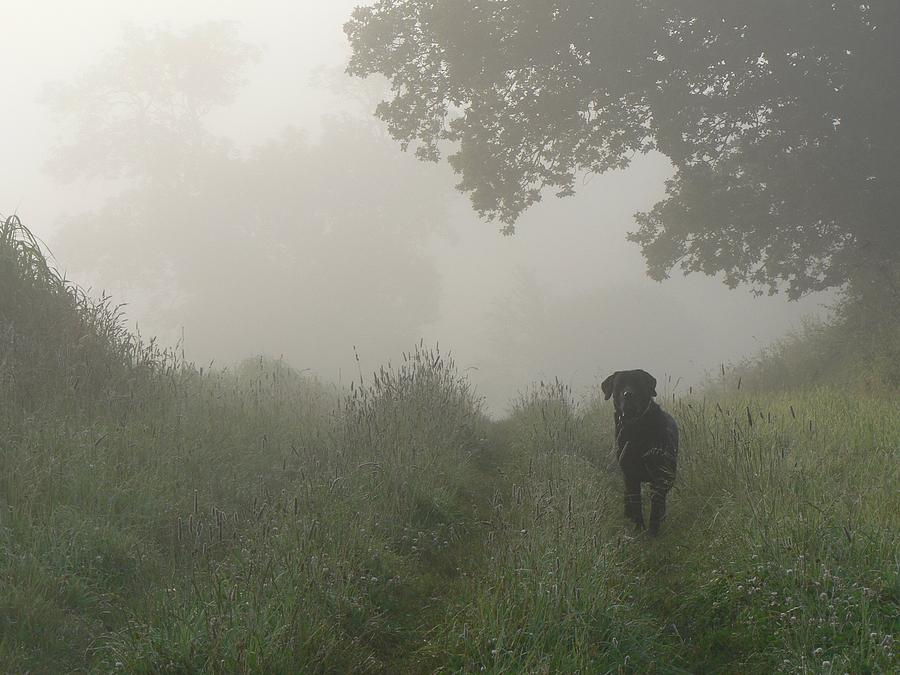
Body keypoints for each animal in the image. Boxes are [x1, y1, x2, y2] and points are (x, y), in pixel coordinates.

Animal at [600, 370, 680, 532]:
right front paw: (639, 528)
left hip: (669, 474)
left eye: (637, 383)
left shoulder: (659, 474)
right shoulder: (630, 474)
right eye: (619, 385)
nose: (628, 394)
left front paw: (653, 531)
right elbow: (636, 503)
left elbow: (656, 504)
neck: (636, 429)